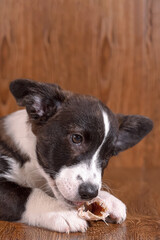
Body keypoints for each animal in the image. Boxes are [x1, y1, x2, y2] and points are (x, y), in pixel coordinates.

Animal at [0, 80, 153, 232]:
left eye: (108, 154)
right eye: (76, 138)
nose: (89, 193)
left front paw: (108, 199)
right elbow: (28, 193)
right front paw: (60, 212)